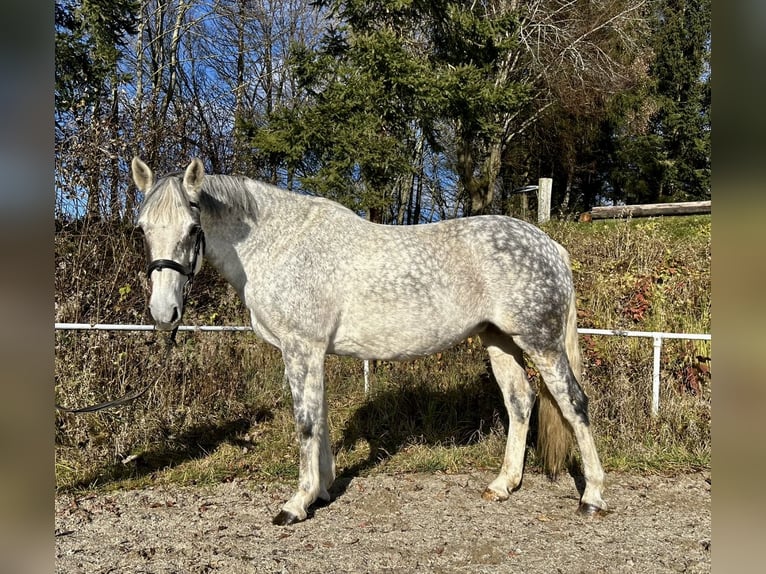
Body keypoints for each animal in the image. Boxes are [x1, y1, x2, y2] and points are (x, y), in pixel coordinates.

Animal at [135, 158, 608, 528]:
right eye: (142, 229)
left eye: (192, 227)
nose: (163, 312)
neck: (279, 245)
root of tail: (551, 246)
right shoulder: (314, 353)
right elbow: (320, 419)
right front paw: (323, 491)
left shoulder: (301, 348)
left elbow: (305, 423)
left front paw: (296, 504)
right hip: (499, 340)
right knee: (520, 400)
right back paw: (503, 485)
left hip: (540, 341)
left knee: (574, 403)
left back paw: (592, 497)